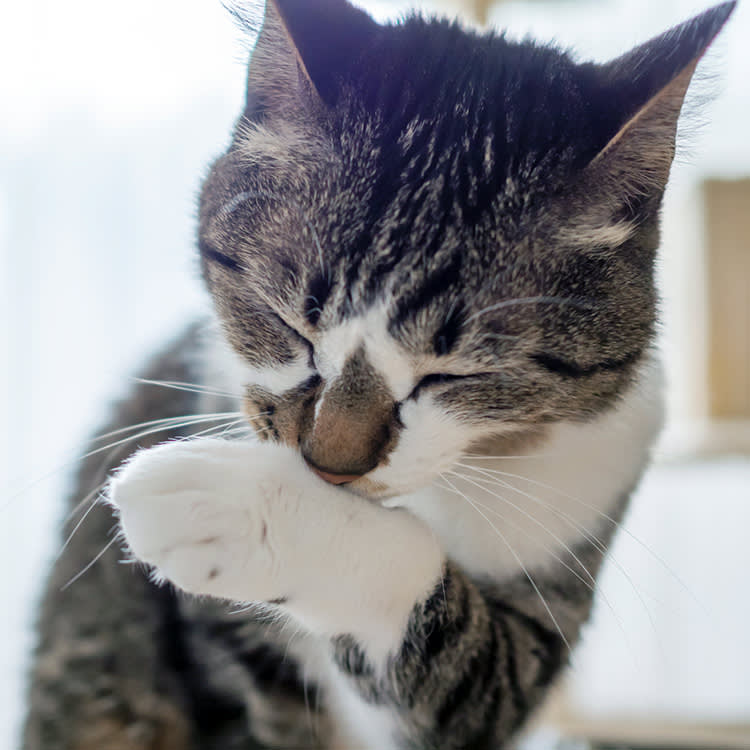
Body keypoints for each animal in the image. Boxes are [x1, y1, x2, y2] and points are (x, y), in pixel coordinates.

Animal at [22, 1, 736, 750]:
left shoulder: (560, 559)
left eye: (456, 374)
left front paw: (228, 504)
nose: (330, 466)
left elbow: (449, 652)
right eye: (289, 324)